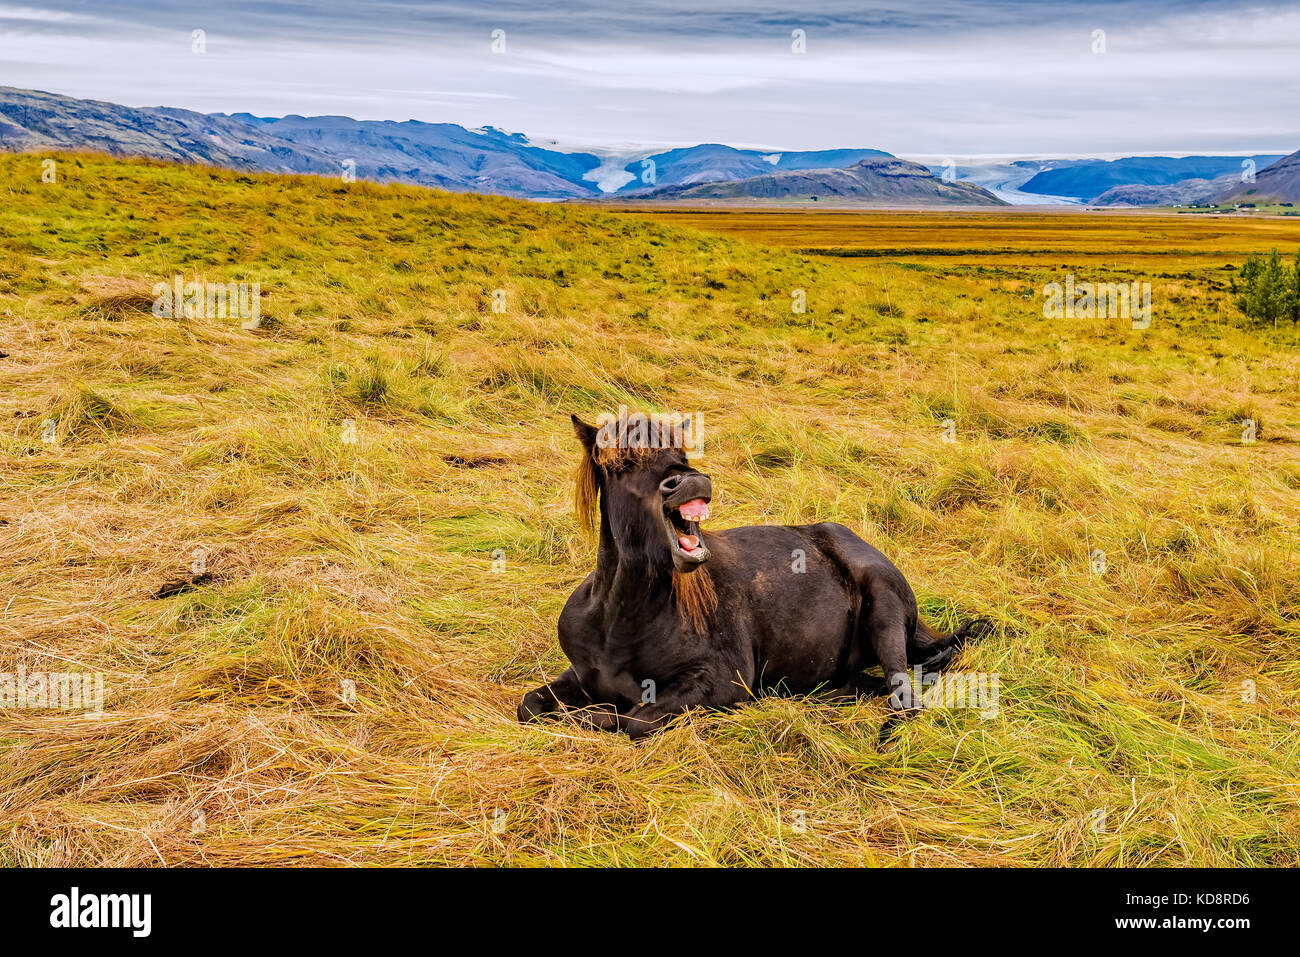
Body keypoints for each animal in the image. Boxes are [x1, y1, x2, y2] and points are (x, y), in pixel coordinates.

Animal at [518, 413, 991, 739]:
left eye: (681, 455)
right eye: (623, 463)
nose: (689, 482)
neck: (619, 622)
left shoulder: (719, 681)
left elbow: (633, 720)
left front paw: (596, 716)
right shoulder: (579, 675)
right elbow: (530, 705)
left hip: (885, 611)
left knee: (903, 692)